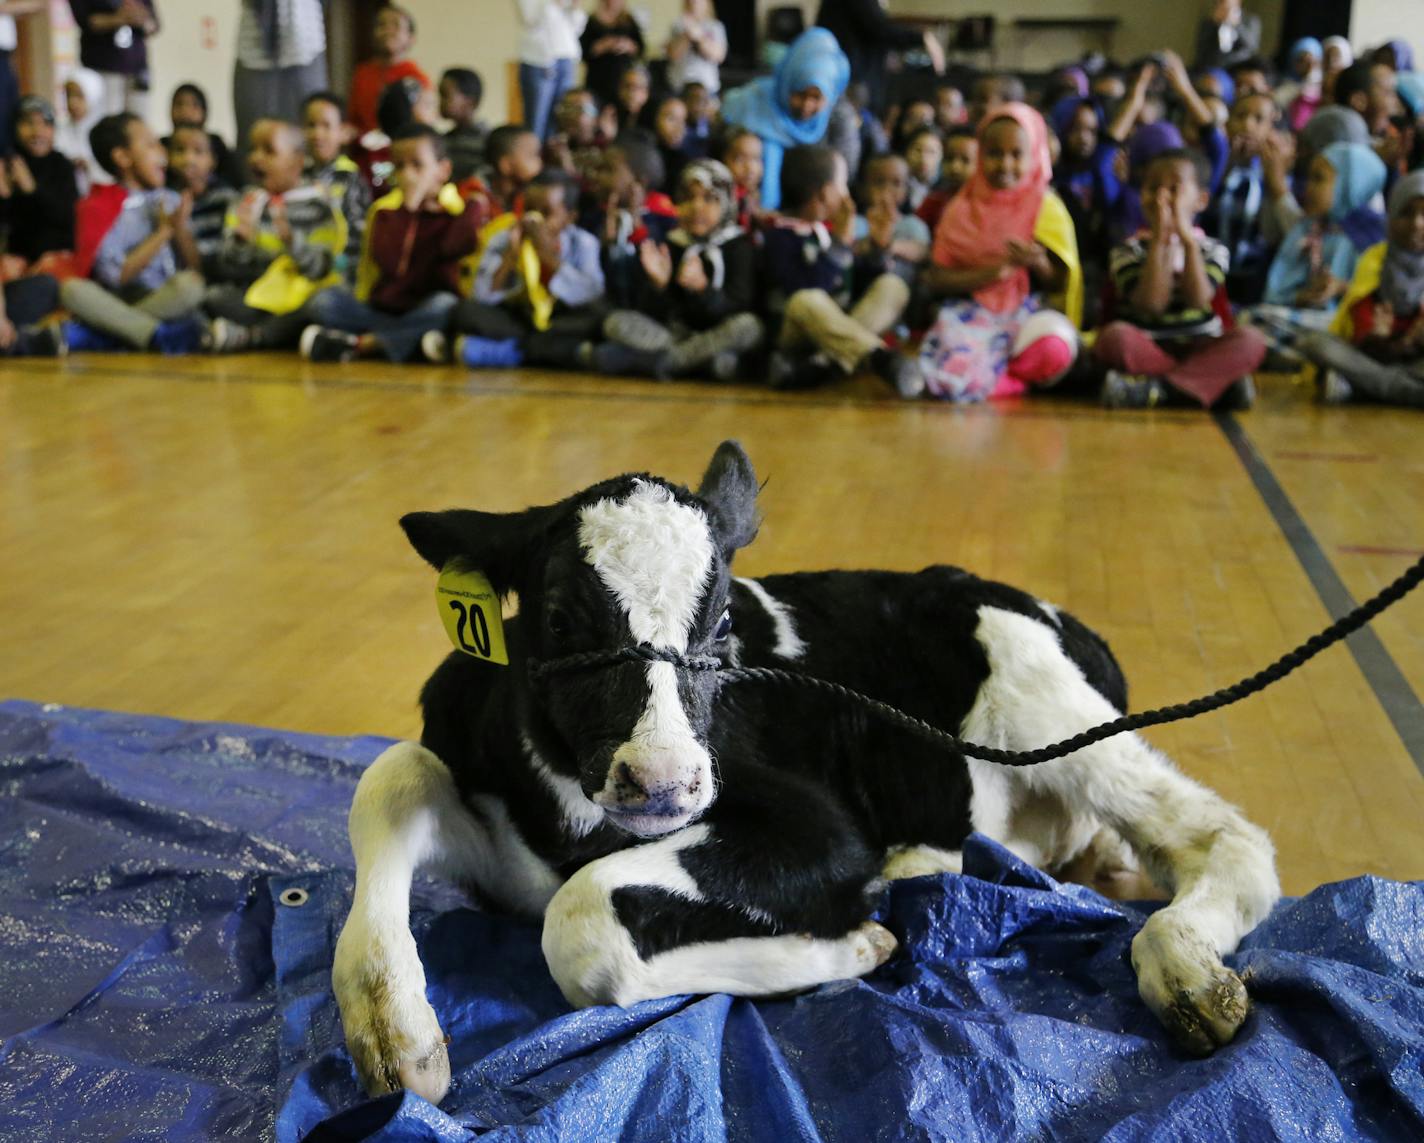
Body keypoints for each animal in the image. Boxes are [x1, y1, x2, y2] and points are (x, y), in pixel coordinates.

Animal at [333, 438, 1281, 1098]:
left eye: (721, 621)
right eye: (561, 618)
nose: (664, 781)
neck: (566, 813)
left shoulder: (821, 830)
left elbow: (583, 923)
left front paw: (847, 940)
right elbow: (390, 776)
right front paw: (392, 1028)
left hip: (1048, 708)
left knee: (1225, 837)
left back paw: (1185, 965)